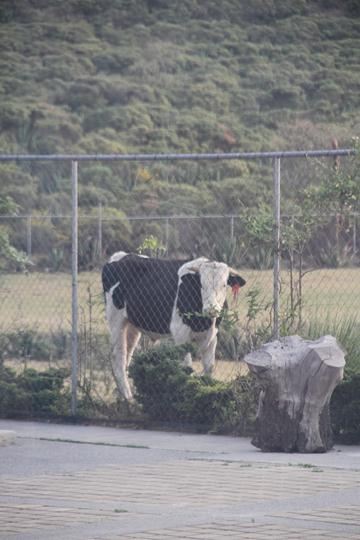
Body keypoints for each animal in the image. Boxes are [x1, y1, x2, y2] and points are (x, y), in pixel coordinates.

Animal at [102, 251, 246, 398]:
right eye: (201, 285)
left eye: (224, 285)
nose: (211, 309)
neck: (203, 322)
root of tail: (121, 255)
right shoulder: (180, 334)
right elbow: (187, 367)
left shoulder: (212, 336)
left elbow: (209, 367)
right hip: (116, 321)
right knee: (118, 357)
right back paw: (128, 398)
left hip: (132, 325)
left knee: (127, 356)